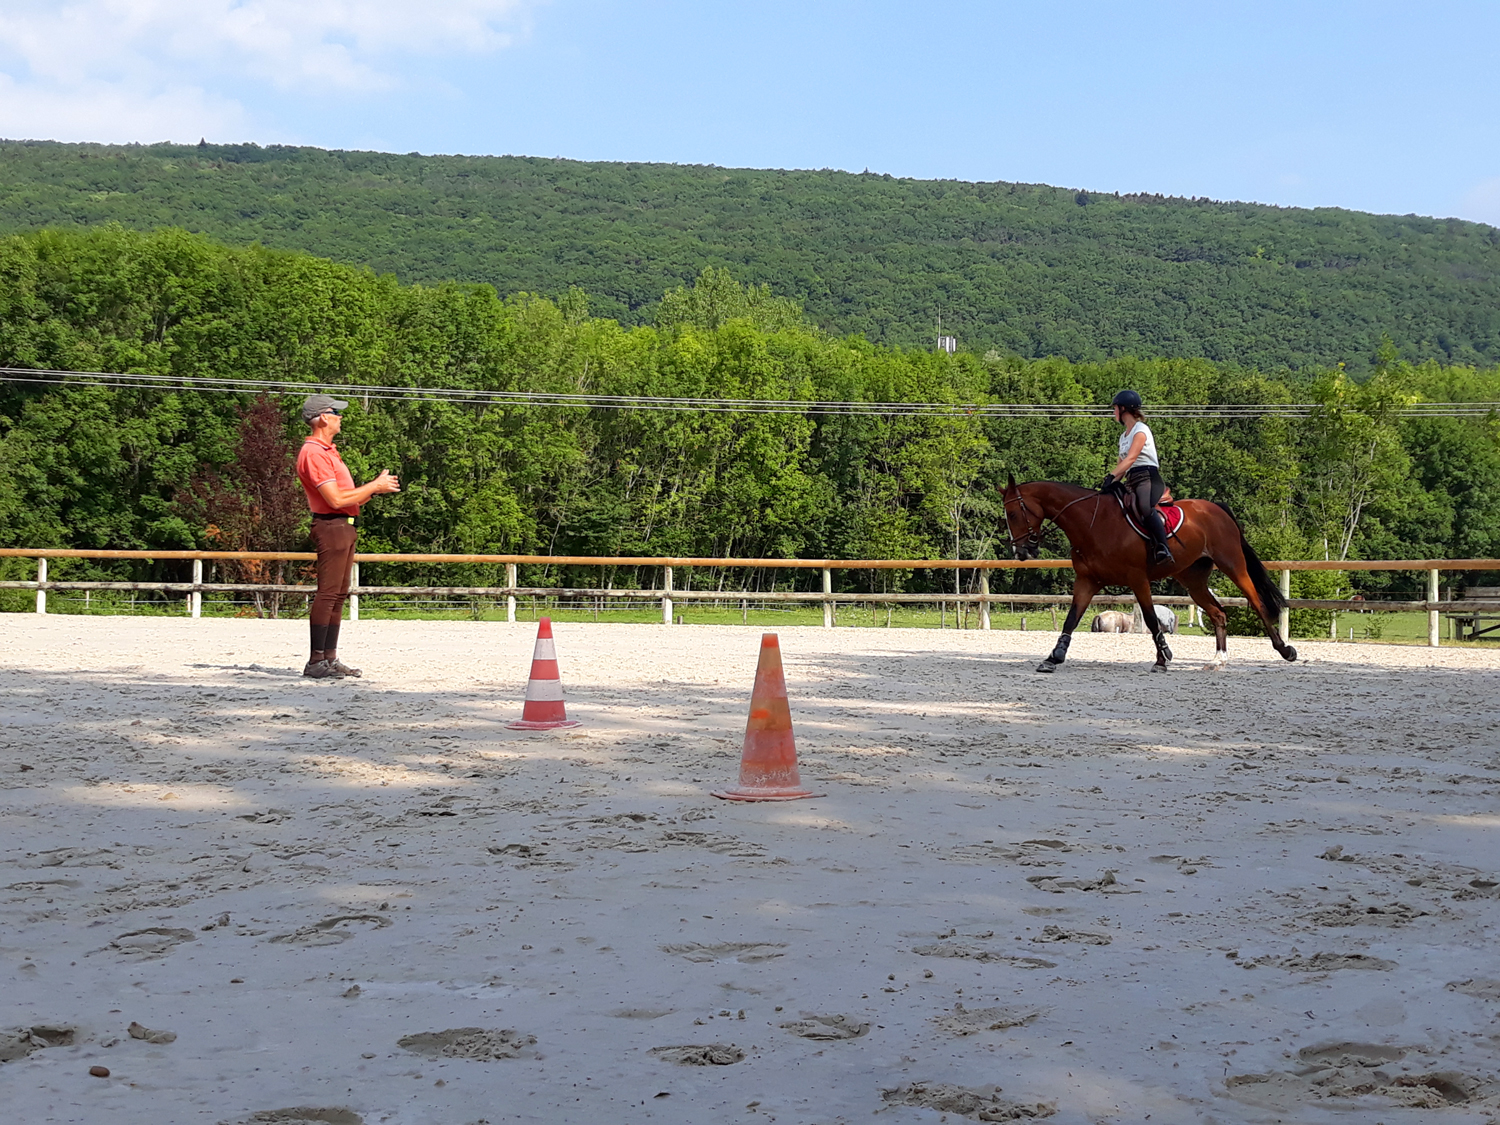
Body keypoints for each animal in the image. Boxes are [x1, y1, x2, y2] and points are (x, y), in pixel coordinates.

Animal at [1002, 480, 1296, 675]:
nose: (1021, 551)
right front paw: (1054, 657)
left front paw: (1163, 657)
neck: (1092, 524)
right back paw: (1218, 660)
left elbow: (1152, 618)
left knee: (1257, 603)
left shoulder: (1137, 579)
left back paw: (1285, 650)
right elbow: (1071, 619)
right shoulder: (1087, 581)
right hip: (1193, 580)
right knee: (1218, 613)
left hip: (1232, 564)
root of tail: (1216, 508)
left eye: (1014, 513)